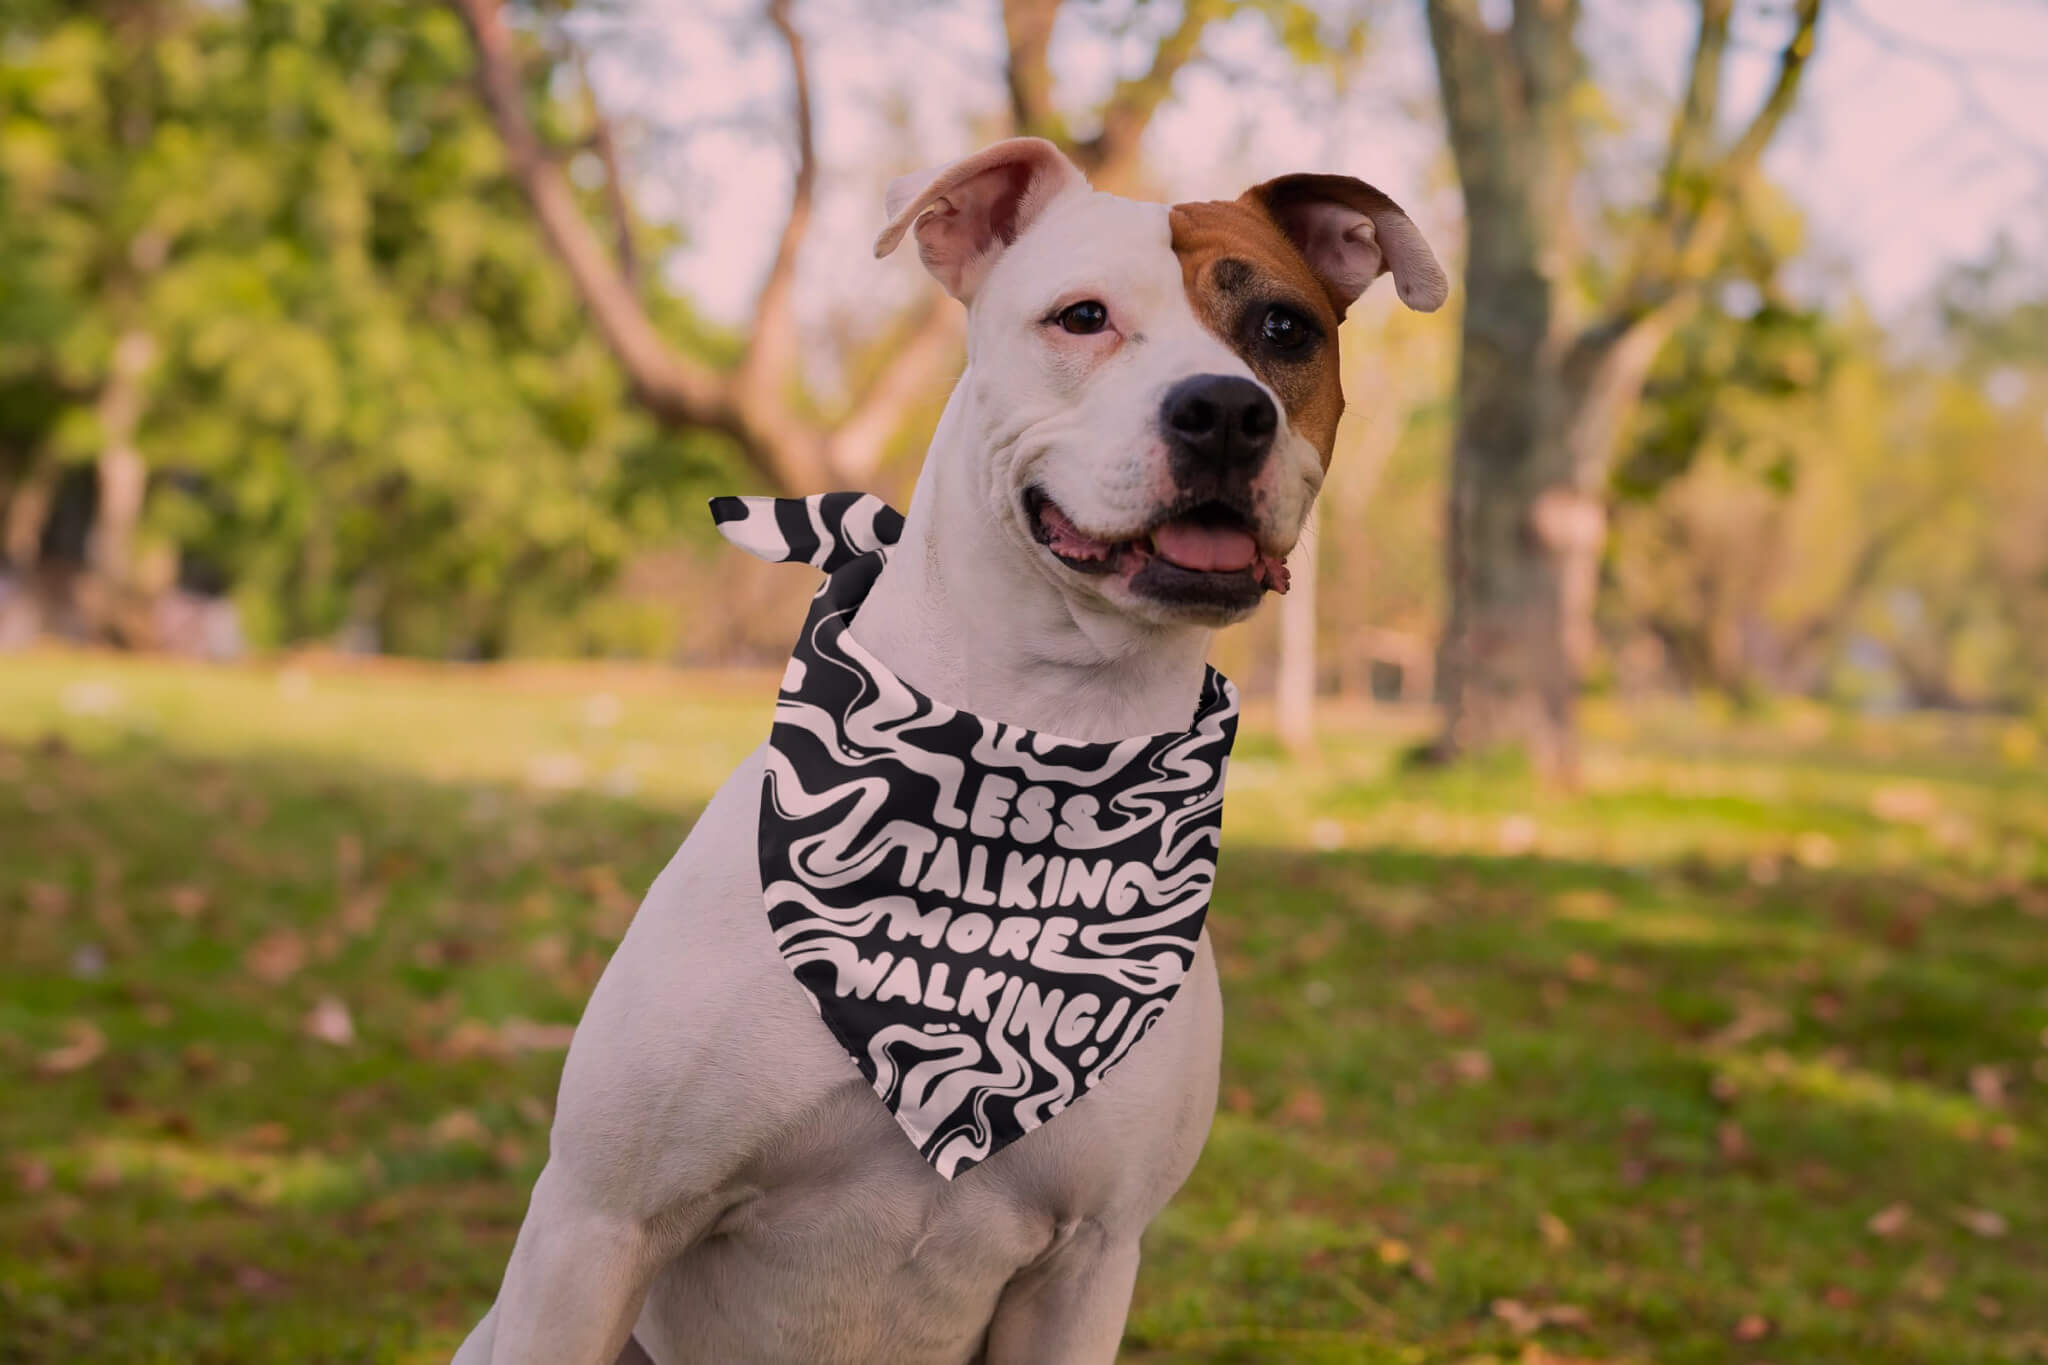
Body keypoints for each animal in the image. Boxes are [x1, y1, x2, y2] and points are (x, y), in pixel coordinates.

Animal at [452, 139, 1441, 1365]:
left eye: (1284, 330)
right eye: (1082, 316)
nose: (1223, 410)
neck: (1043, 739)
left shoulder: (1087, 1263)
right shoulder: (598, 1222)